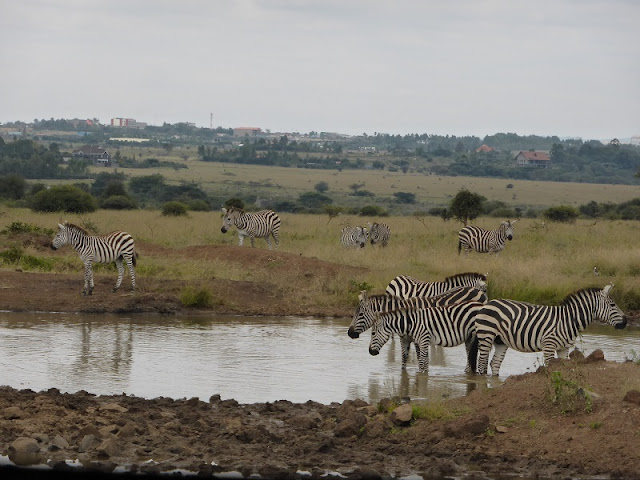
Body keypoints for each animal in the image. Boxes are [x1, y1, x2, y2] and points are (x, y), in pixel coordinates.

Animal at [348, 286, 488, 370]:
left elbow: (422, 358)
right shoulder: (404, 338)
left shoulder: (418, 338)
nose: (349, 333)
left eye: (360, 315)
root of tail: (478, 290)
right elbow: (404, 359)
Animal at [476, 284, 632, 376]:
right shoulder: (549, 346)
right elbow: (550, 369)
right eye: (612, 305)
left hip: (501, 341)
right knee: (482, 363)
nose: (625, 322)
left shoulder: (564, 348)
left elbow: (561, 368)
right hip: (486, 336)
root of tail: (489, 303)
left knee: (494, 363)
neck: (568, 320)